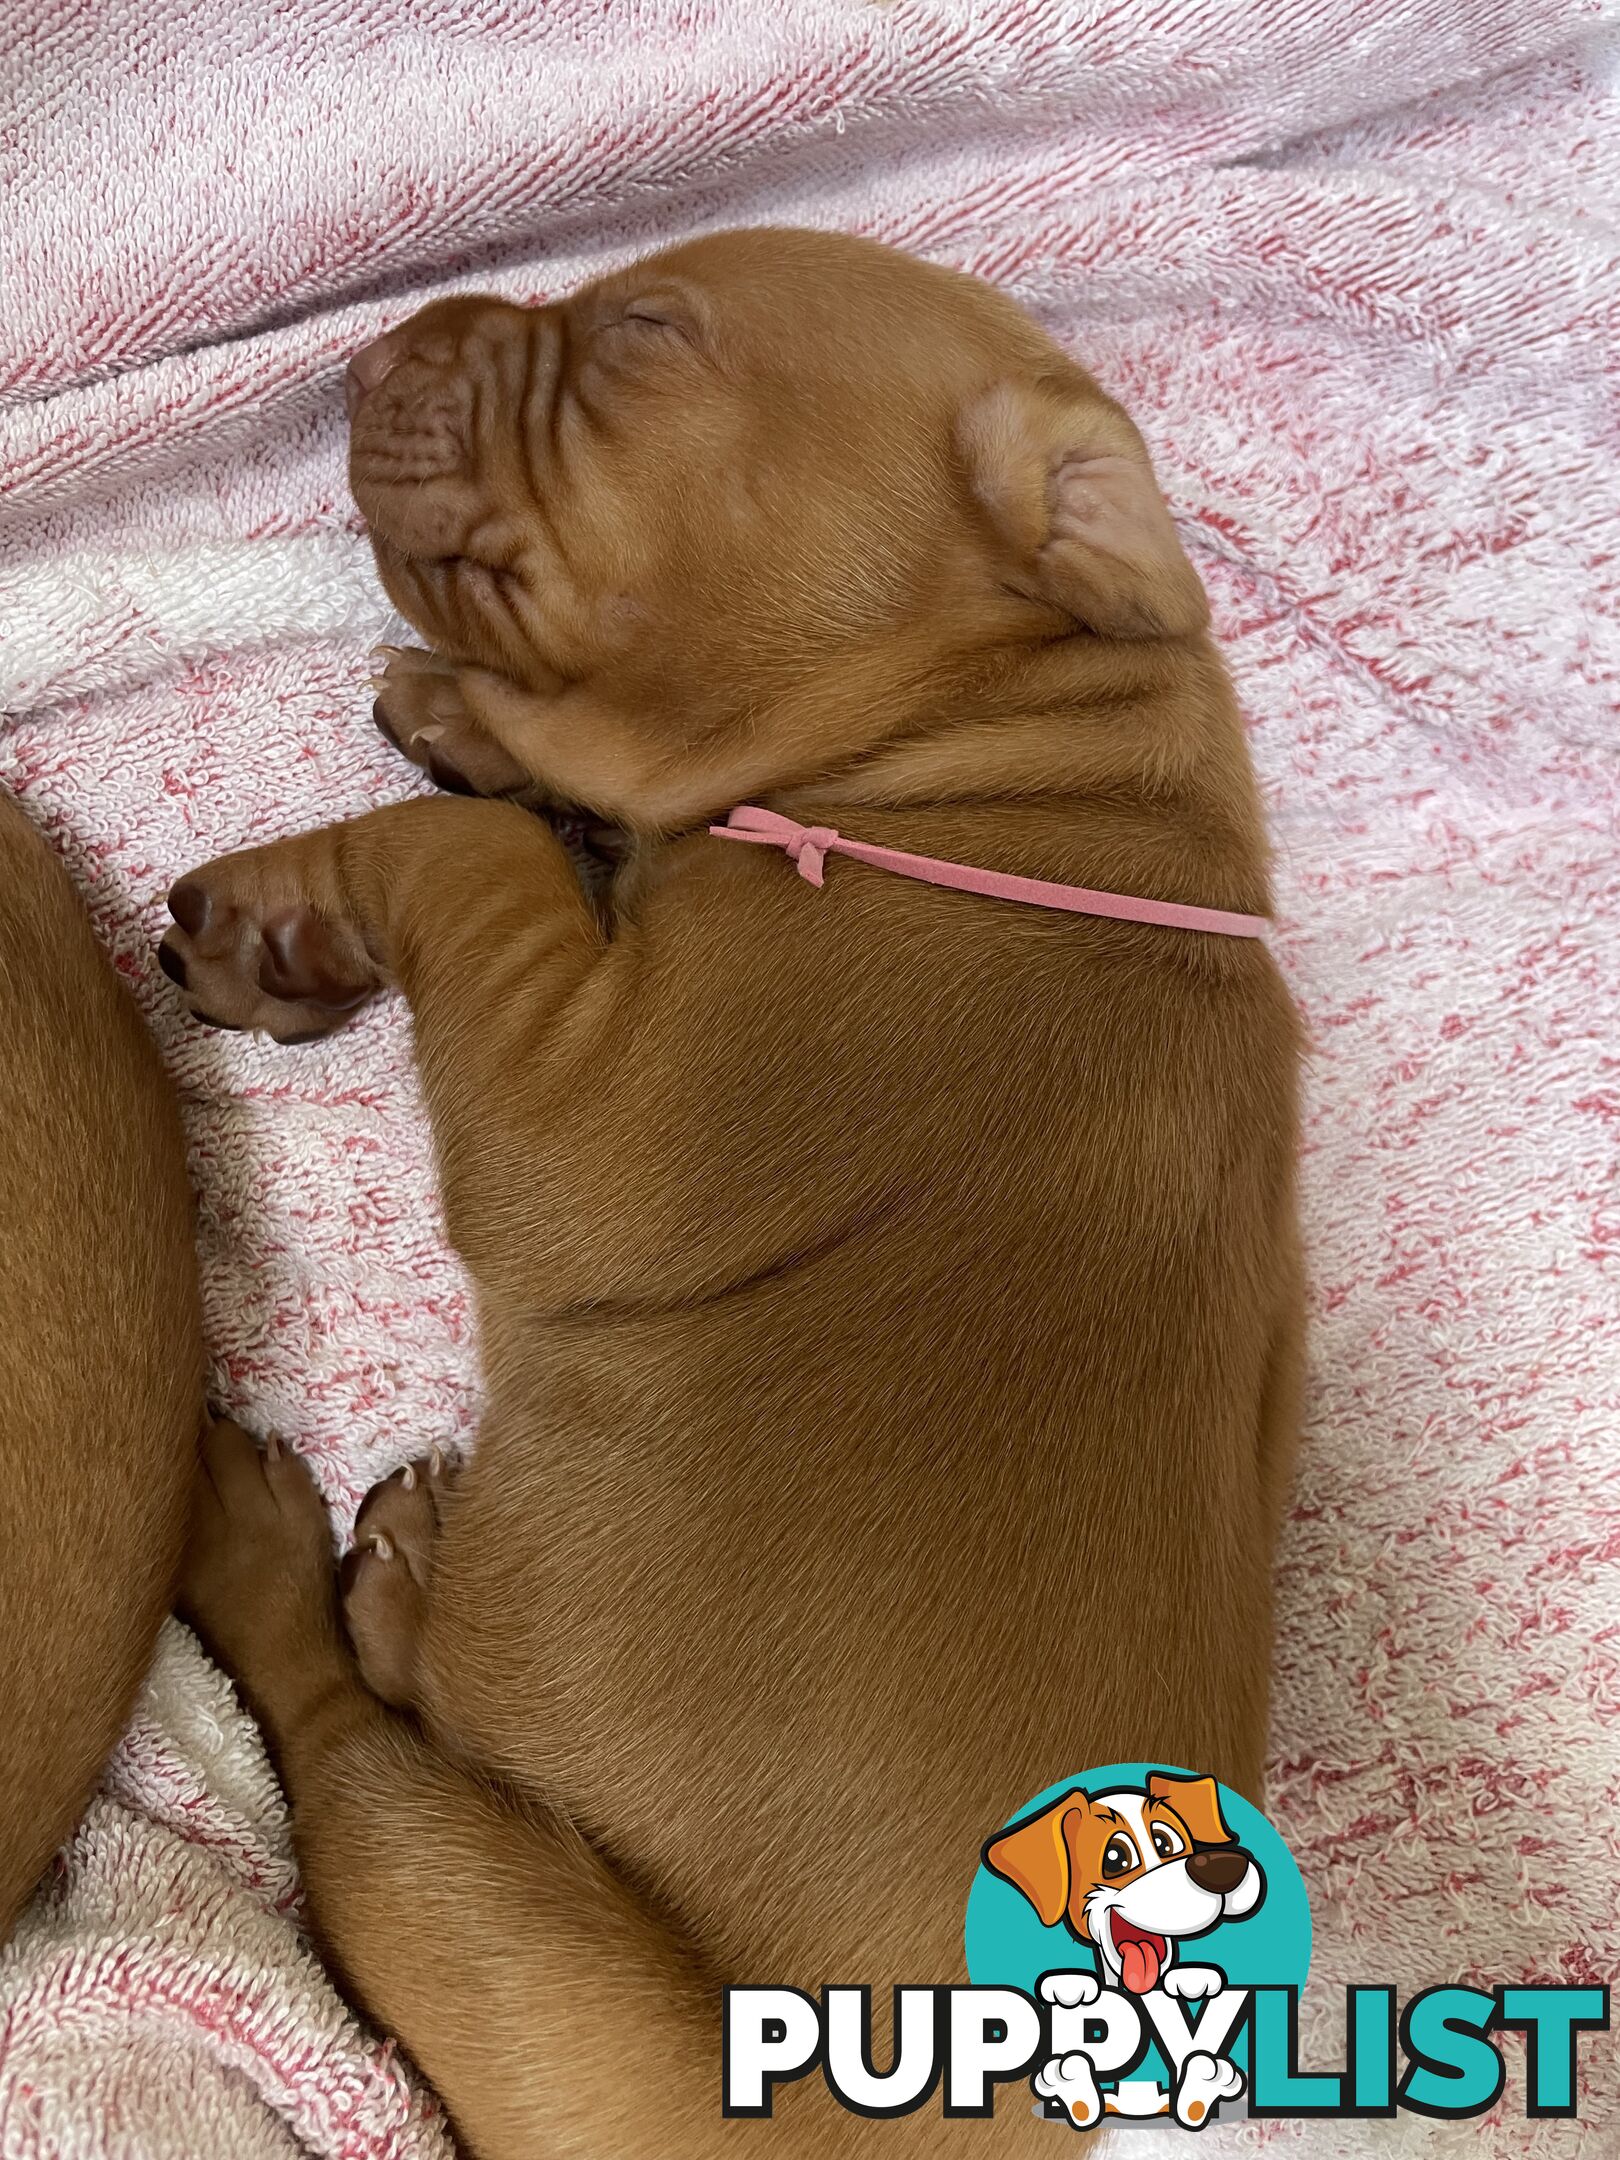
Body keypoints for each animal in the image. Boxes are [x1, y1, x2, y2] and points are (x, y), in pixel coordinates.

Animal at [165, 227, 1304, 2151]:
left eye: (644, 331)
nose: (369, 349)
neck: (998, 762)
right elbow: (522, 804)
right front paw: (451, 725)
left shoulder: (591, 1113)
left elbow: (471, 852)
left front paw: (303, 891)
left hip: (520, 1938)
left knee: (354, 1746)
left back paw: (296, 1555)